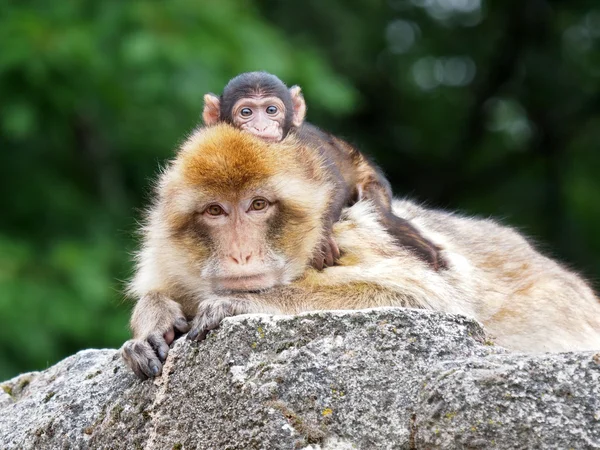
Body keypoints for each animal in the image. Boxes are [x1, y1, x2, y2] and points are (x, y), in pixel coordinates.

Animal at [120, 124, 600, 380]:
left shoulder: (348, 236)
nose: (240, 254)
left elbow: (426, 298)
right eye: (215, 211)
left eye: (258, 205)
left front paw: (241, 303)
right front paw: (152, 320)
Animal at [202, 72, 446, 270]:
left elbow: (332, 184)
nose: (261, 126)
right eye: (246, 112)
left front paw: (319, 241)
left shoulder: (306, 143)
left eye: (271, 110)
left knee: (379, 212)